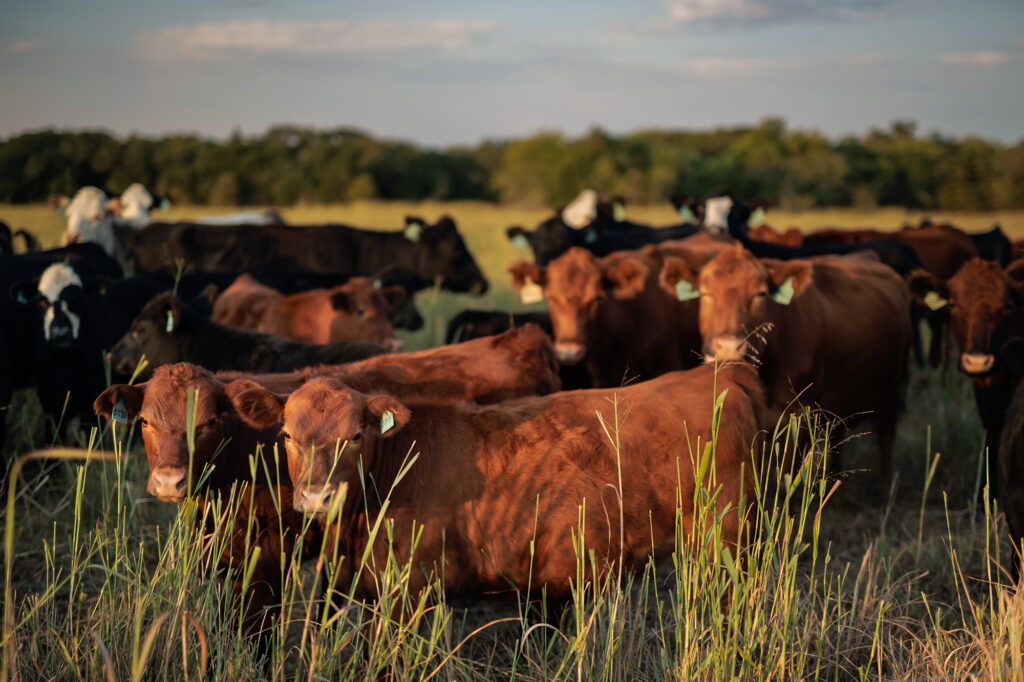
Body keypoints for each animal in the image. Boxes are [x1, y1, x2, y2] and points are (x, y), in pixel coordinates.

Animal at [228, 362, 767, 600]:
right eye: (288, 435)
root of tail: (719, 373)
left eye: (357, 435)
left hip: (726, 542)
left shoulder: (414, 585)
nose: (317, 497)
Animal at [658, 246, 912, 495]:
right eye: (705, 293)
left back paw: (884, 492)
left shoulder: (800, 416)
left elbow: (785, 482)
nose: (729, 348)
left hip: (894, 387)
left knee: (887, 437)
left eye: (760, 294)